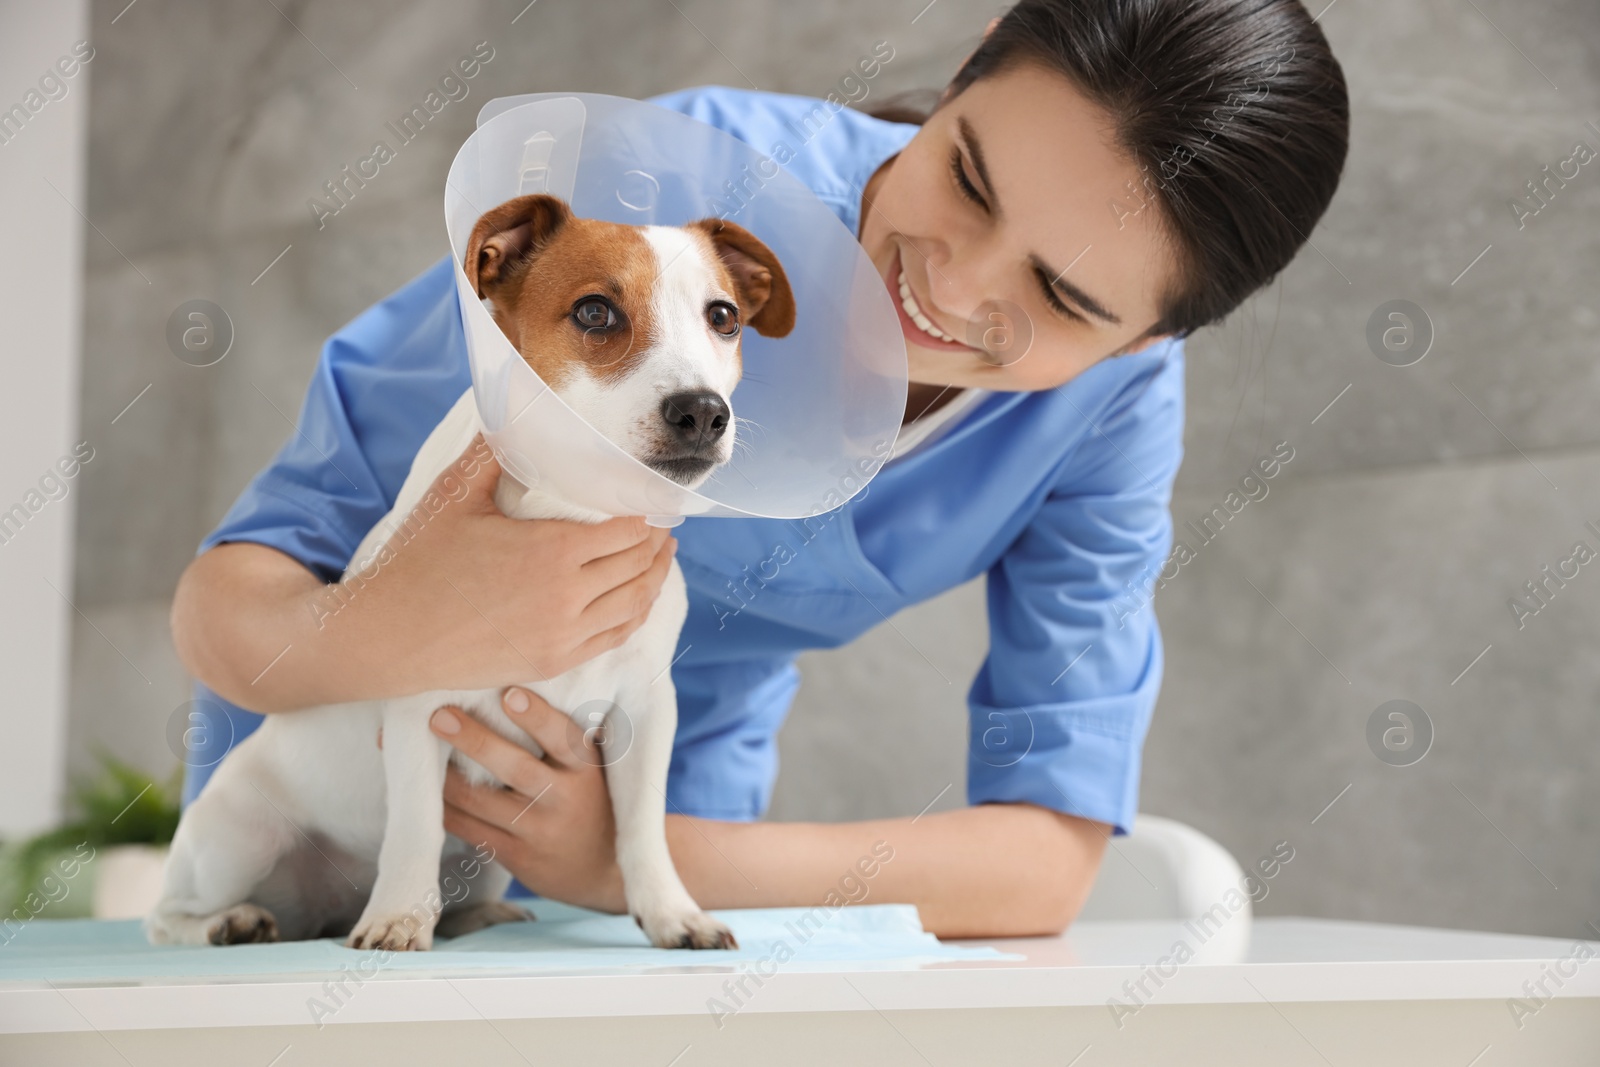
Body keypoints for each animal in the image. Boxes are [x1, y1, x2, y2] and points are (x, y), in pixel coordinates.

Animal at [147, 194, 796, 953]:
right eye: (596, 311)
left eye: (722, 317)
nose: (702, 411)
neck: (571, 509)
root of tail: (325, 905)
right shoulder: (420, 708)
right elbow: (416, 826)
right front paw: (398, 916)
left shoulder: (643, 707)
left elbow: (641, 827)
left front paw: (672, 912)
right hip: (237, 837)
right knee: (166, 915)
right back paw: (232, 921)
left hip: (485, 862)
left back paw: (476, 915)